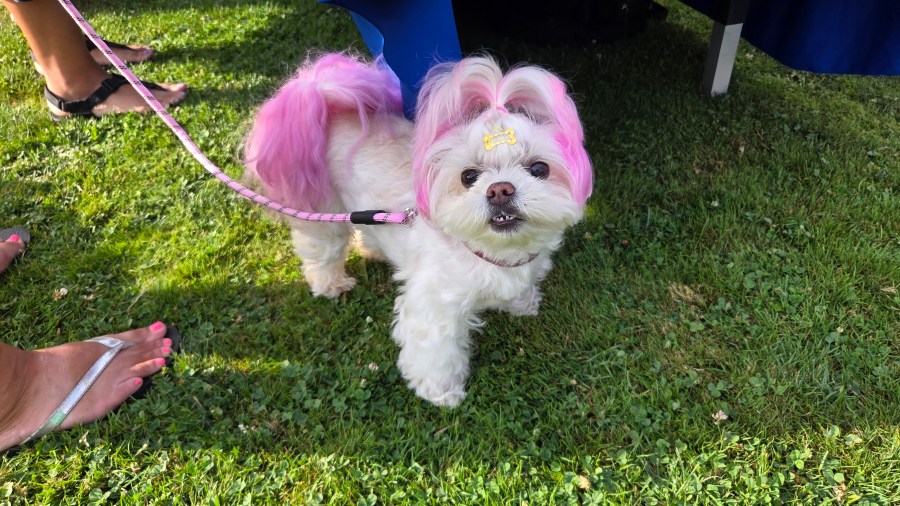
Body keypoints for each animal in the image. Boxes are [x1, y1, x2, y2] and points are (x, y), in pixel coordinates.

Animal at [243, 53, 592, 407]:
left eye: (539, 168)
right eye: (468, 176)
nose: (500, 190)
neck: (491, 251)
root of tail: (319, 93)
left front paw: (522, 304)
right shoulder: (433, 307)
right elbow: (435, 353)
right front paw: (442, 391)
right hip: (323, 211)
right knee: (323, 249)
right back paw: (331, 284)